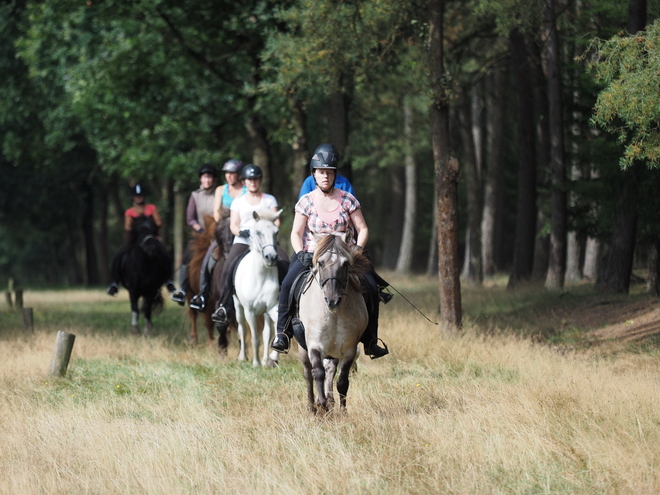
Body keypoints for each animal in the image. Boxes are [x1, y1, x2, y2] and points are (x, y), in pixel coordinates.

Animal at [296, 233, 368, 414]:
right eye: (320, 262)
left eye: (345, 263)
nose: (333, 300)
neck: (334, 314)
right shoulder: (314, 344)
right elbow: (317, 373)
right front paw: (321, 405)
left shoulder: (349, 349)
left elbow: (342, 381)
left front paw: (342, 411)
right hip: (303, 348)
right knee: (308, 373)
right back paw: (312, 406)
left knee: (330, 370)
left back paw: (330, 402)